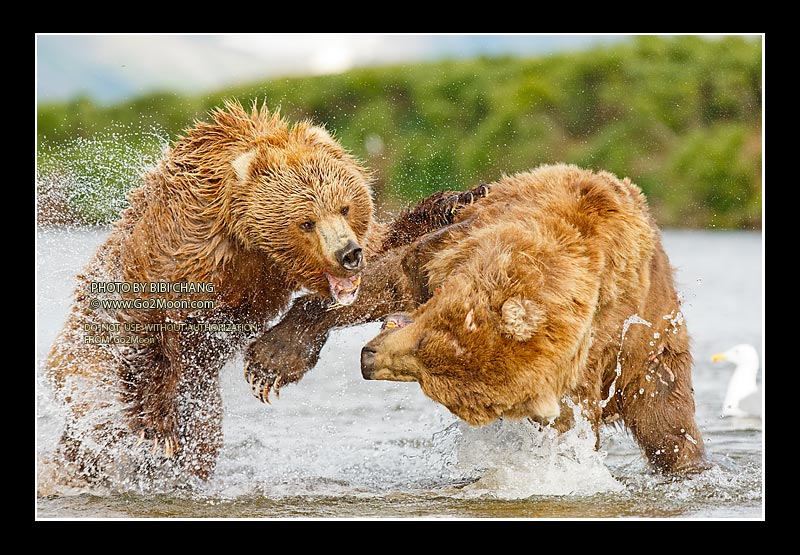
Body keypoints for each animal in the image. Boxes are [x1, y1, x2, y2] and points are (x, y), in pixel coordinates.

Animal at [43, 100, 489, 484]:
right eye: (306, 221)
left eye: (344, 207)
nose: (348, 254)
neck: (248, 243)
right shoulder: (181, 245)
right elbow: (148, 319)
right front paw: (159, 423)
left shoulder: (268, 270)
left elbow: (388, 248)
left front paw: (455, 201)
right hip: (83, 367)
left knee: (201, 441)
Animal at [245, 165, 706, 474]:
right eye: (424, 349)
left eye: (431, 383)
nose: (367, 359)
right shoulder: (462, 245)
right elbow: (388, 279)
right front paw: (276, 355)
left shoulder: (595, 347)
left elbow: (574, 419)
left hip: (652, 350)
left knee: (667, 422)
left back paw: (690, 464)